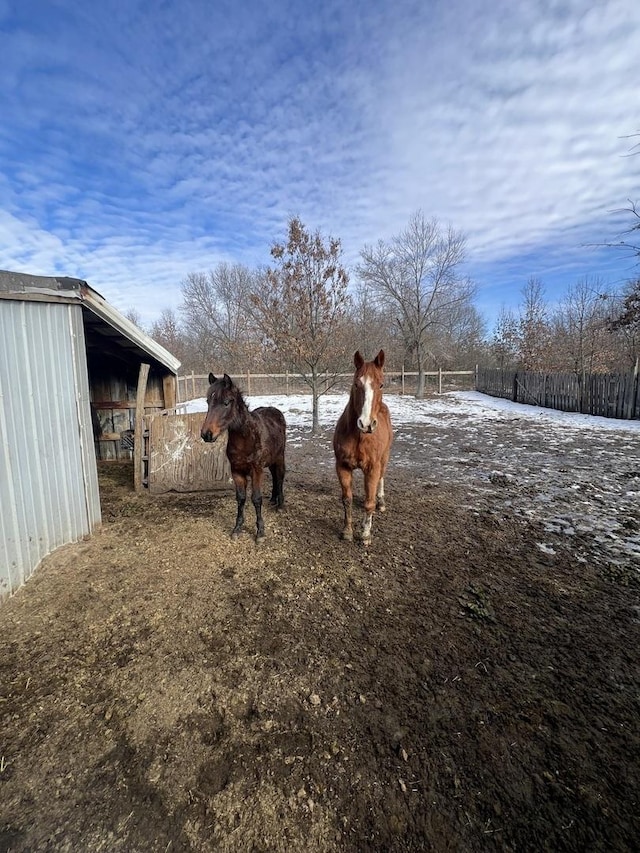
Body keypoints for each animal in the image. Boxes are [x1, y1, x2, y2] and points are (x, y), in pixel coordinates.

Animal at [201, 374, 286, 544]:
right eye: (208, 401)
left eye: (226, 402)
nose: (207, 434)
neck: (246, 439)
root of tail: (276, 412)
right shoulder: (237, 472)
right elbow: (241, 498)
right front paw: (237, 528)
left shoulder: (256, 470)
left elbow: (256, 499)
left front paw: (260, 532)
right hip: (271, 460)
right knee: (275, 476)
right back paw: (273, 499)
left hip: (279, 457)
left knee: (280, 477)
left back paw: (280, 504)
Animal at [332, 352, 392, 544]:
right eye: (356, 384)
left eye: (381, 384)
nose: (366, 424)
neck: (360, 436)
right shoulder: (342, 466)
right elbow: (347, 499)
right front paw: (347, 531)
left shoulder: (372, 468)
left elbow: (369, 502)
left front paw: (365, 534)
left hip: (384, 458)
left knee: (382, 477)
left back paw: (381, 502)